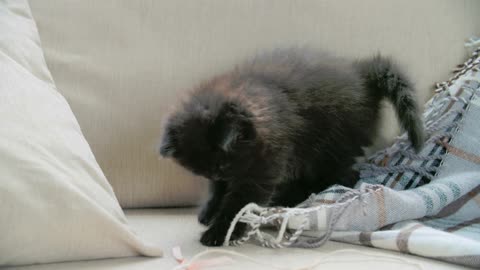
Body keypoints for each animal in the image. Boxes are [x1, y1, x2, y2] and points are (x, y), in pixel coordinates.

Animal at [158, 47, 424, 246]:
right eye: (204, 171)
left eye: (223, 163)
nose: (219, 173)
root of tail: (361, 76)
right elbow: (219, 191)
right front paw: (210, 209)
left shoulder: (264, 163)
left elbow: (240, 203)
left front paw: (221, 231)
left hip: (331, 146)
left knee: (343, 176)